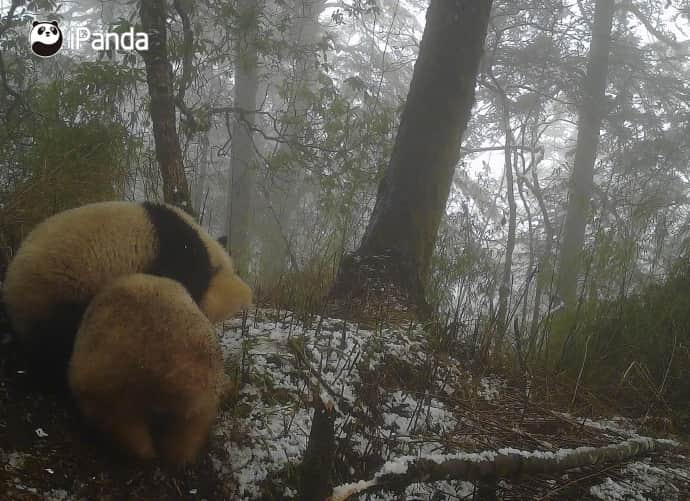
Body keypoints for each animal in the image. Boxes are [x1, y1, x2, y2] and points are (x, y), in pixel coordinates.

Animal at [67, 274, 224, 464]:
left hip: (111, 381)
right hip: (203, 397)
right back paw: (177, 456)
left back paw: (142, 452)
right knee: (187, 432)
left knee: (123, 424)